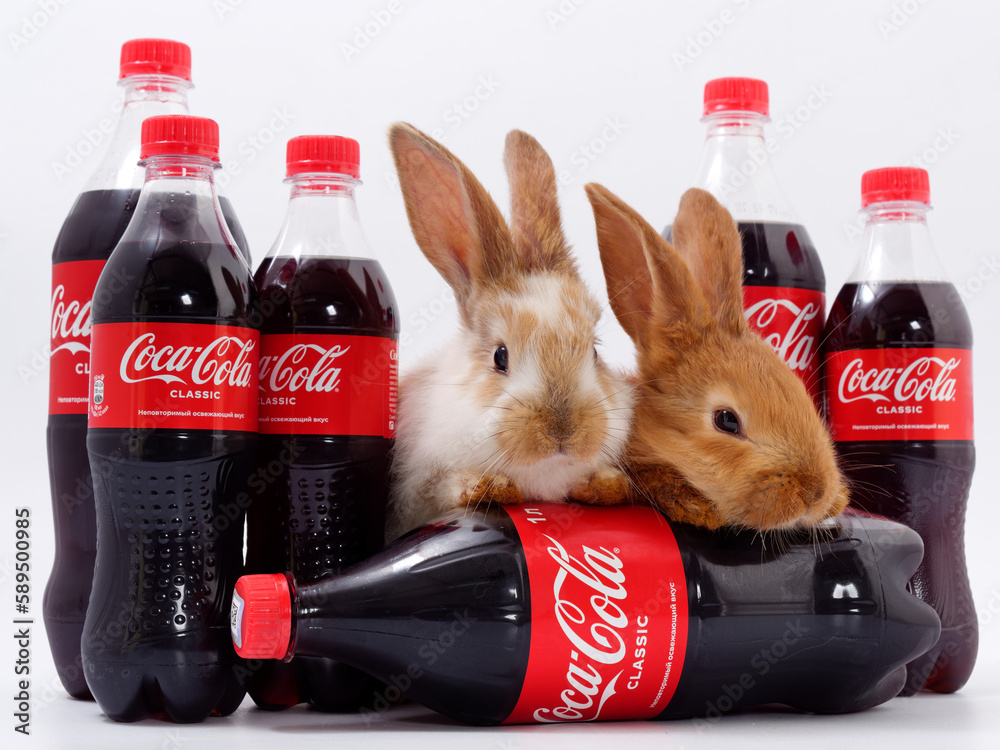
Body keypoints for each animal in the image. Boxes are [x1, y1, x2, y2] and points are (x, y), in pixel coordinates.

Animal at [386, 123, 634, 537]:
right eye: (499, 356)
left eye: (595, 352)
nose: (563, 429)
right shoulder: (419, 490)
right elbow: (447, 489)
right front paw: (489, 487)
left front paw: (602, 485)